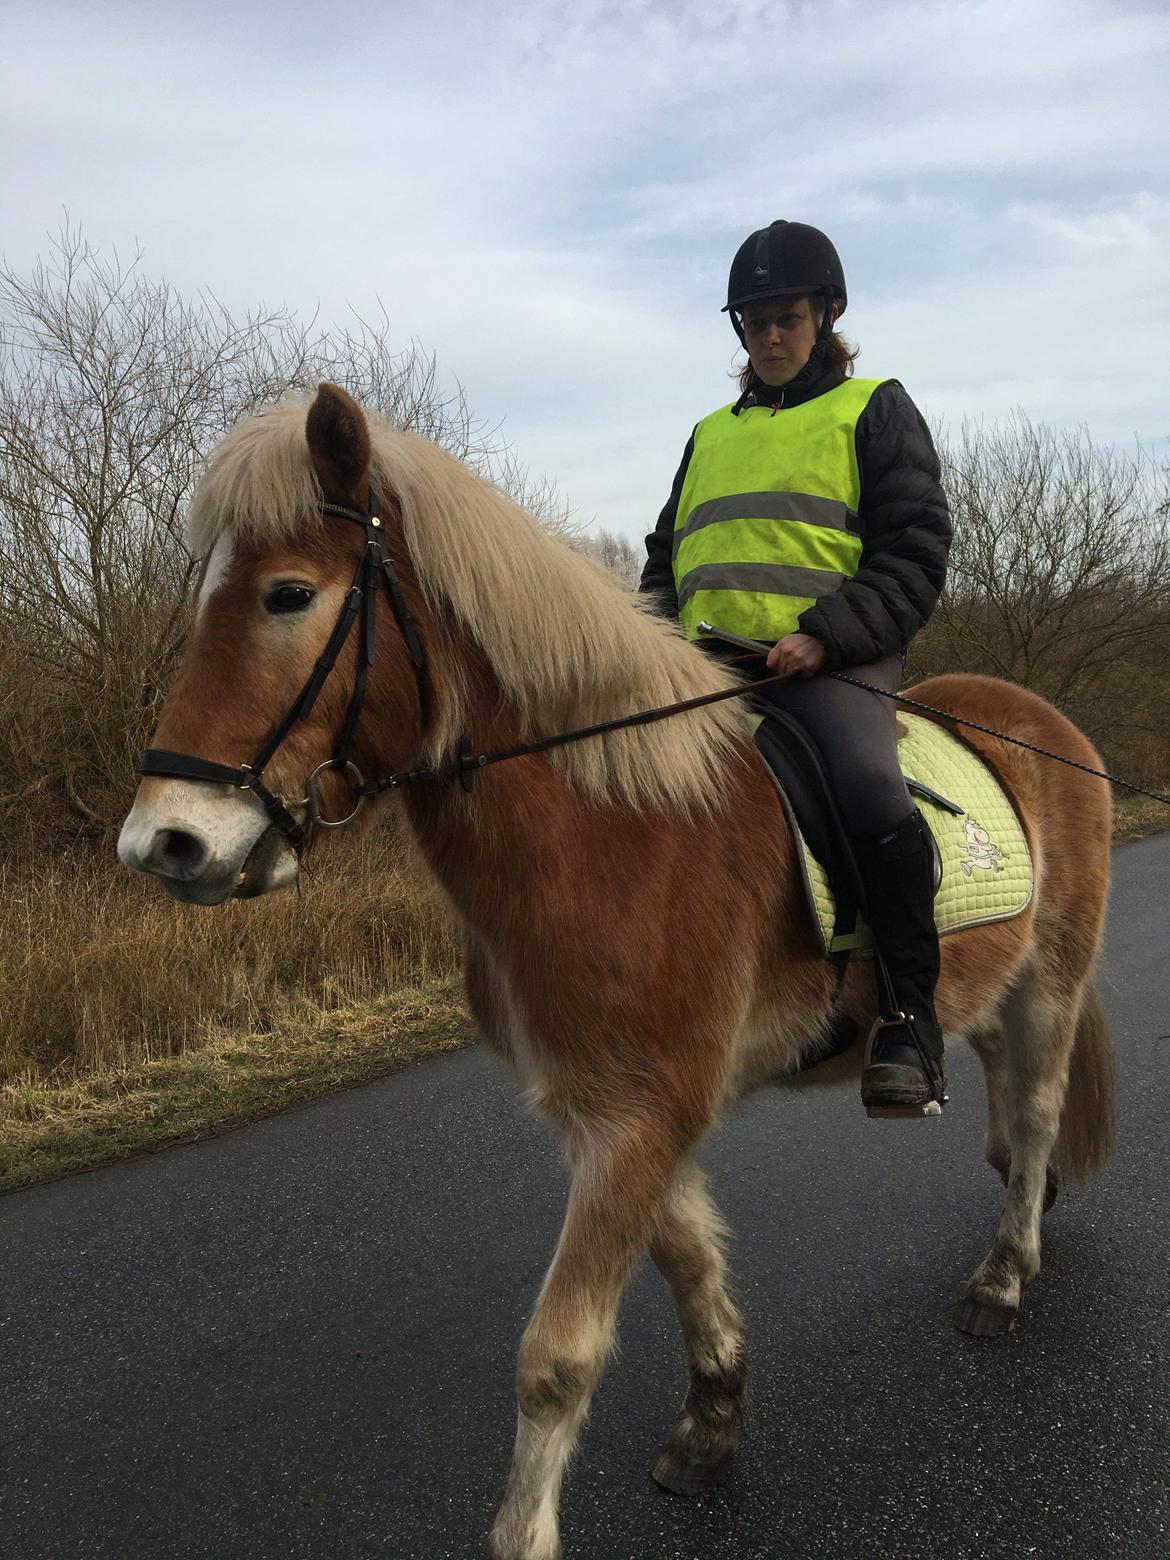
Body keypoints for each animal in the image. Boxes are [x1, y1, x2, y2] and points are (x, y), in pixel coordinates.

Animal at [119, 383, 1116, 1560]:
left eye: (286, 595)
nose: (165, 844)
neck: (614, 832)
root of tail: (1046, 725)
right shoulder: (617, 1112)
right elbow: (686, 1261)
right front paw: (713, 1421)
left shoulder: (640, 1117)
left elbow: (556, 1361)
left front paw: (530, 1531)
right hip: (995, 985)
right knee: (1008, 1085)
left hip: (1054, 975)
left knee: (1042, 1102)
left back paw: (1004, 1278)